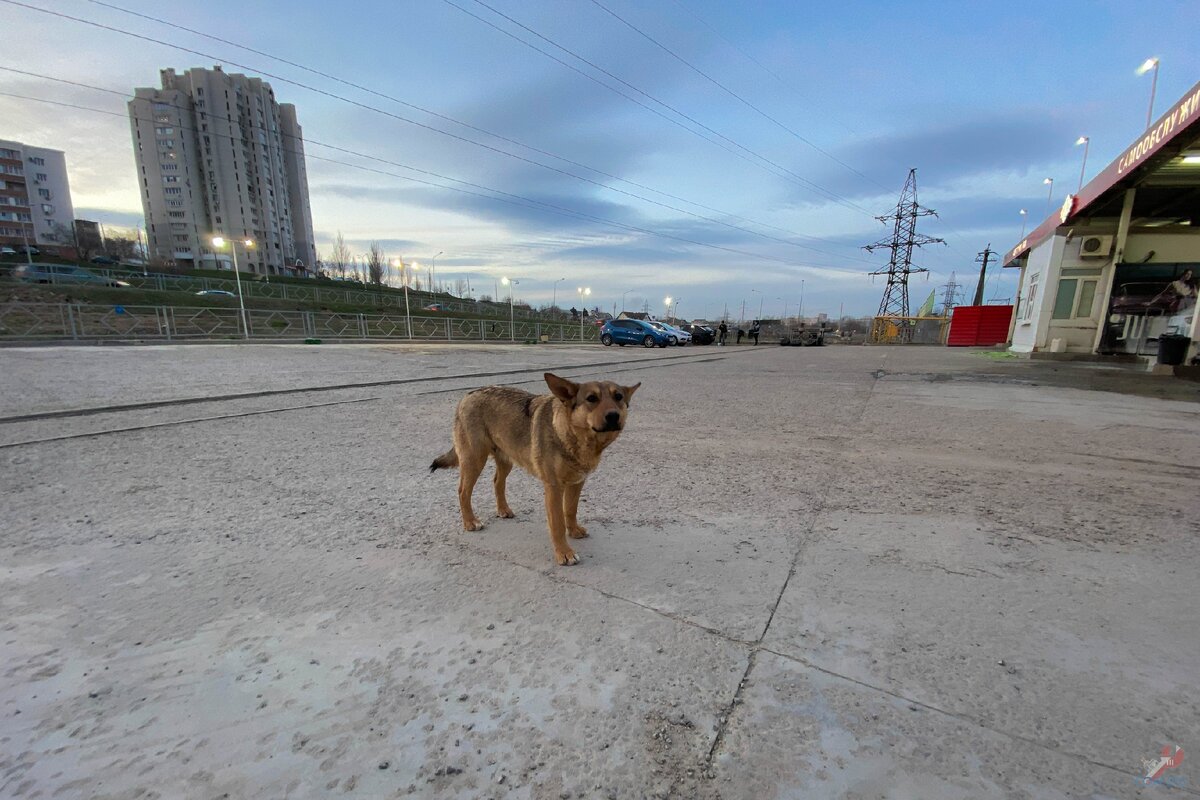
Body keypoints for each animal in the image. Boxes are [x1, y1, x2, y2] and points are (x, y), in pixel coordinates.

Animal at [429, 374, 638, 566]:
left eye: (618, 397)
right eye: (591, 398)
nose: (614, 416)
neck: (573, 436)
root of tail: (468, 395)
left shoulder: (577, 482)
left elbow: (570, 510)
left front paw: (573, 530)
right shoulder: (554, 488)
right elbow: (557, 523)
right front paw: (564, 553)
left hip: (506, 460)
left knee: (497, 482)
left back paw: (503, 509)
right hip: (474, 460)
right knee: (463, 491)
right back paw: (470, 522)